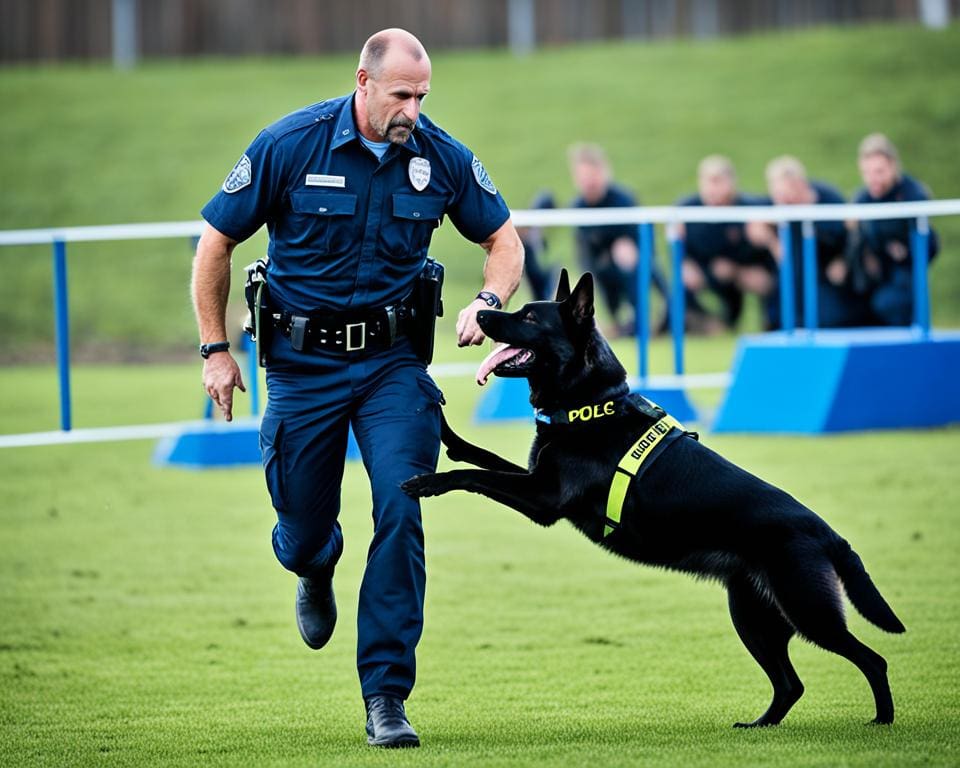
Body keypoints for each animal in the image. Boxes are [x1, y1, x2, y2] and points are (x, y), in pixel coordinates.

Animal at [402, 272, 904, 728]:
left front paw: (428, 482)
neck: (590, 405)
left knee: (872, 660)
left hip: (807, 611)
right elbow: (479, 457)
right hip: (753, 616)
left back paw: (882, 720)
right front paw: (444, 430)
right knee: (790, 684)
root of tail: (828, 533)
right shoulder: (534, 479)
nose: (480, 315)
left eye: (527, 317)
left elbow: (475, 474)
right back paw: (761, 725)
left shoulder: (542, 498)